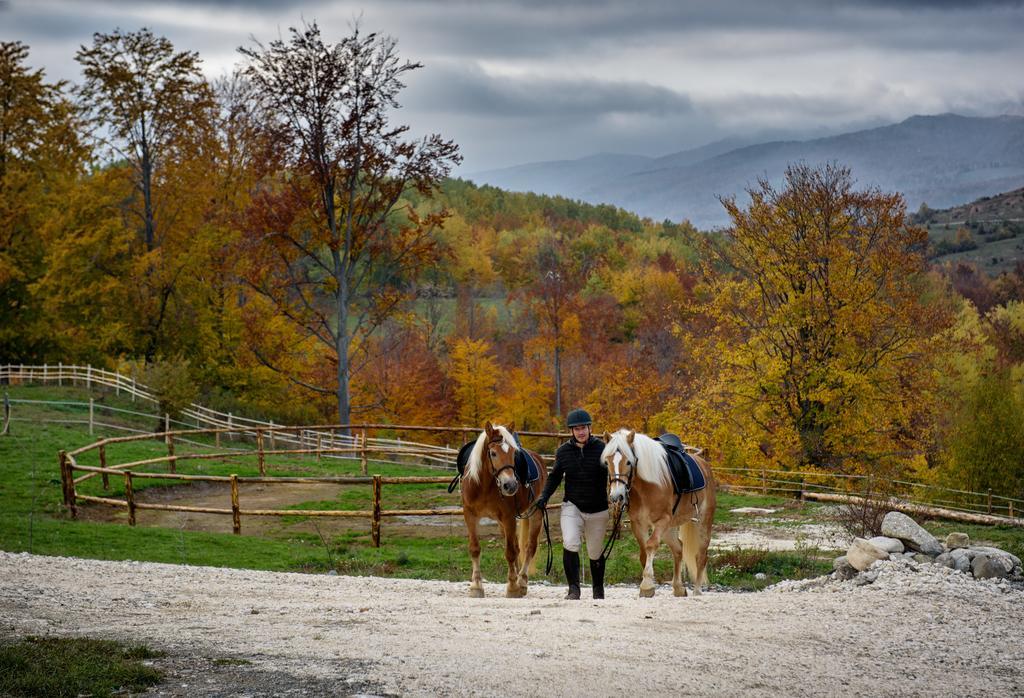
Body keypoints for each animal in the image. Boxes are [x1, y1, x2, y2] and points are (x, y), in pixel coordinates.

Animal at [460, 421, 548, 593]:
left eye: (514, 454)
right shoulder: (470, 515)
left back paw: (521, 581)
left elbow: (510, 553)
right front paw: (476, 586)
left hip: (536, 512)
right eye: (493, 453)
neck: (484, 486)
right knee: (517, 547)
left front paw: (512, 586)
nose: (511, 485)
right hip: (503, 523)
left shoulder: (508, 517)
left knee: (529, 547)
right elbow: (475, 548)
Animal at [598, 427, 716, 593]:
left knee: (701, 555)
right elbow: (643, 553)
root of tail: (704, 464)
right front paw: (646, 583)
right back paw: (678, 587)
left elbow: (651, 545)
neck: (647, 487)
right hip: (670, 527)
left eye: (628, 462)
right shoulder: (638, 523)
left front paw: (647, 585)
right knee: (678, 549)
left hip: (703, 521)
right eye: (607, 462)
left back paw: (697, 590)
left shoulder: (661, 520)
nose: (617, 496)